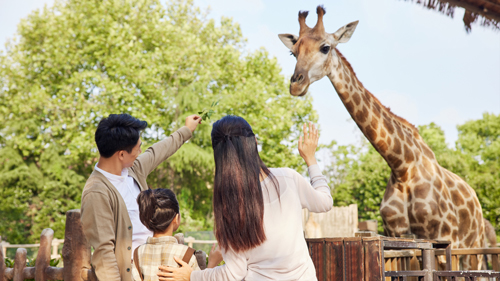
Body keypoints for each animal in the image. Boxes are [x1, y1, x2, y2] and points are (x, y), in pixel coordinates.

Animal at [282, 4, 488, 264]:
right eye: (293, 53)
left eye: (325, 47)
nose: (296, 84)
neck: (402, 166)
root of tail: (477, 203)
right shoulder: (399, 235)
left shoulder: (440, 238)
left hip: (471, 247)